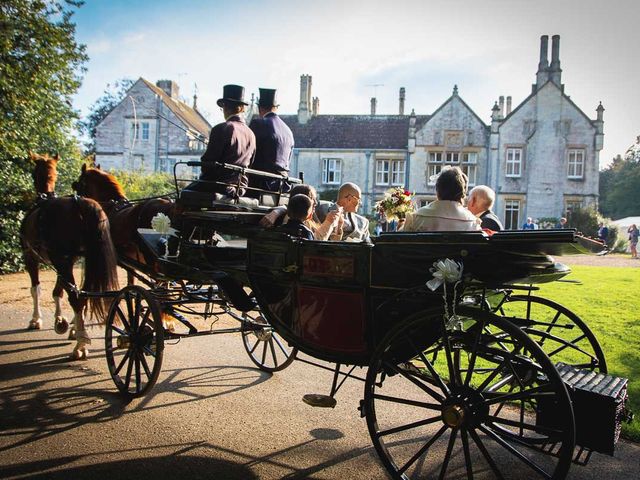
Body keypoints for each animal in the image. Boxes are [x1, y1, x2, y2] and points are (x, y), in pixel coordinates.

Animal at [21, 152, 119, 358]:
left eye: (34, 173)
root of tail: (80, 204)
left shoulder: (31, 256)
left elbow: (36, 289)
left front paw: (36, 320)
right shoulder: (70, 260)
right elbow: (58, 291)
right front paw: (62, 322)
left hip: (60, 259)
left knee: (76, 297)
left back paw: (80, 345)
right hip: (86, 260)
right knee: (82, 294)